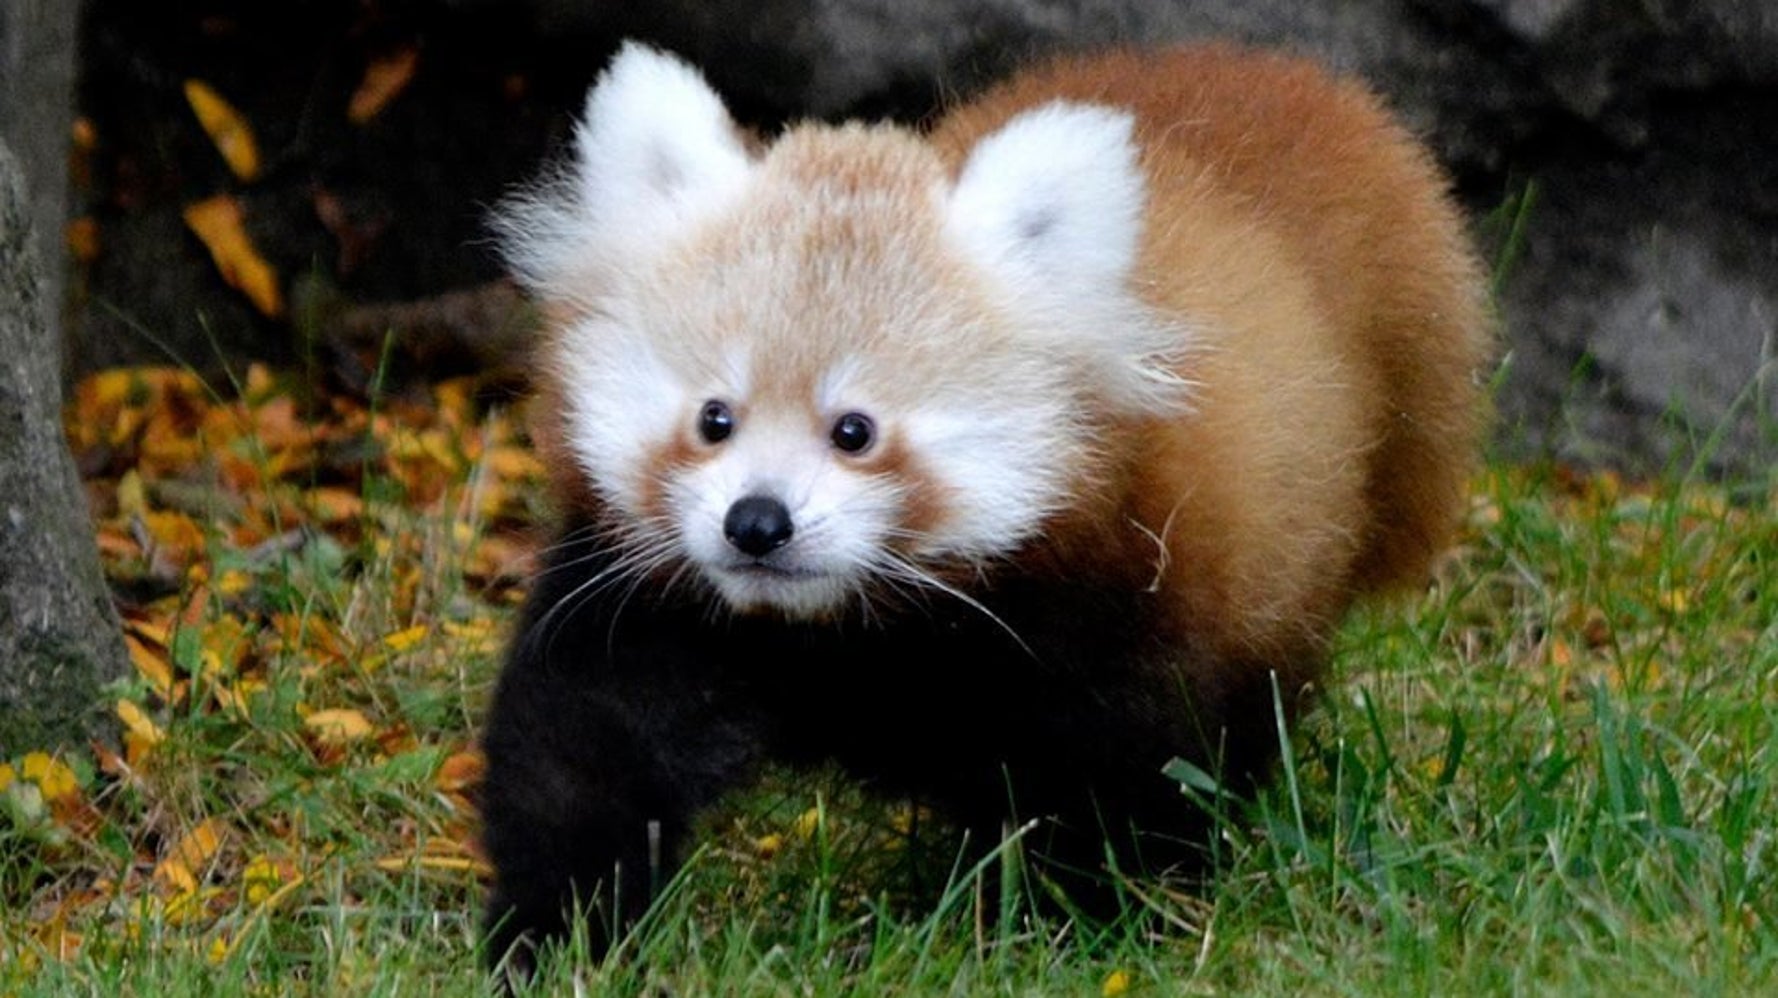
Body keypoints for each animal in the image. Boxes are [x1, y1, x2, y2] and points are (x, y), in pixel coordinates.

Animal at [472, 42, 1486, 967]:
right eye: (714, 418)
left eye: (855, 430)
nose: (757, 524)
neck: (834, 639)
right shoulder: (661, 604)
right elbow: (587, 751)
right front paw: (556, 931)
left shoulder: (1112, 611)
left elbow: (1121, 783)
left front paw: (1077, 931)